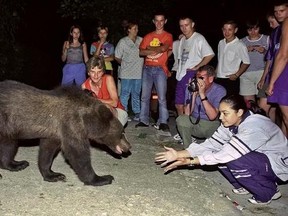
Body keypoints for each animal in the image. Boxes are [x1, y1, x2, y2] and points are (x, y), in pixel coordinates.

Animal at [0, 80, 130, 186]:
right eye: (122, 133)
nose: (129, 146)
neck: (87, 120)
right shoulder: (71, 123)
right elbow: (77, 153)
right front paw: (103, 178)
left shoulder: (55, 133)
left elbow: (47, 151)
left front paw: (54, 175)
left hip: (9, 129)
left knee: (9, 145)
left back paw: (18, 164)